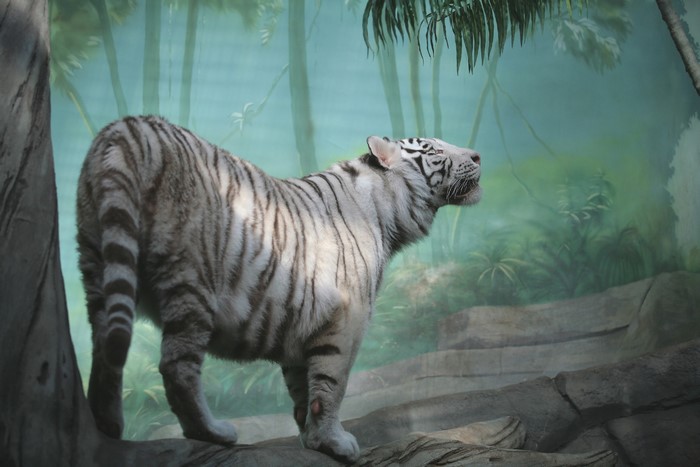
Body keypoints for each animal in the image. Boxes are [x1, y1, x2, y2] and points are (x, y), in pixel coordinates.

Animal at [76, 115, 482, 463]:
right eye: (433, 150)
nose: (478, 155)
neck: (387, 213)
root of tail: (128, 127)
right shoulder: (347, 318)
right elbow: (332, 384)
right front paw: (336, 443)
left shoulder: (303, 323)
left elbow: (302, 389)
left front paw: (312, 439)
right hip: (192, 277)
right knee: (177, 367)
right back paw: (213, 432)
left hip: (95, 263)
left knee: (105, 346)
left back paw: (108, 423)